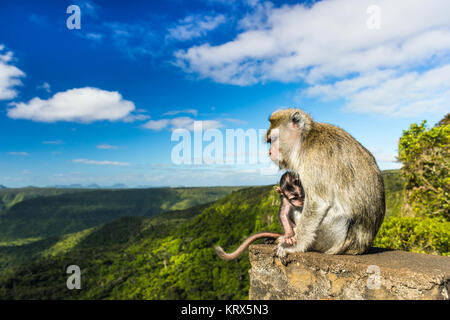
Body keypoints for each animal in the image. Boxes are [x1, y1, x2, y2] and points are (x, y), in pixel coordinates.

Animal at [266, 109, 384, 256]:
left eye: (273, 140)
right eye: (269, 142)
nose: (270, 152)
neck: (305, 140)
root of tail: (358, 248)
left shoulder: (313, 159)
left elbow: (317, 203)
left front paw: (294, 245)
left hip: (330, 236)